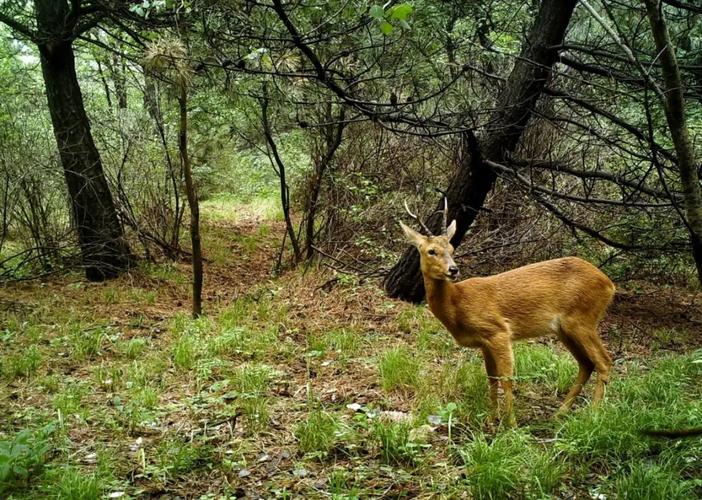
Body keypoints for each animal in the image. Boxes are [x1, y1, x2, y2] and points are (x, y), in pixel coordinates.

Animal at [402, 199, 616, 426]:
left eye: (451, 248)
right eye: (431, 251)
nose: (453, 269)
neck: (458, 304)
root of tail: (610, 285)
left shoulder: (499, 331)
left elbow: (506, 378)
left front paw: (511, 424)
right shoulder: (484, 342)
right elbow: (492, 378)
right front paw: (491, 418)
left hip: (582, 319)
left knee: (603, 361)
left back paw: (593, 414)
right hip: (565, 329)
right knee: (586, 363)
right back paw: (560, 413)